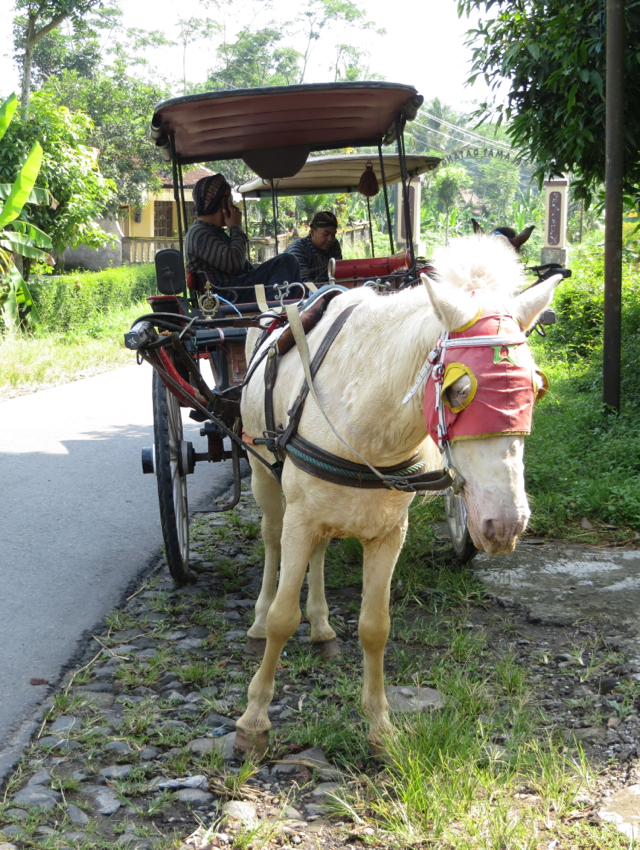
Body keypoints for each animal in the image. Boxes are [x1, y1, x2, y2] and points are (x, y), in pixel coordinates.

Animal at [235, 235, 560, 752]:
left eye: (534, 387)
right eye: (457, 391)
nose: (504, 524)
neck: (363, 415)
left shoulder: (389, 531)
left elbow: (376, 626)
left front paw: (380, 726)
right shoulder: (300, 517)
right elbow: (285, 618)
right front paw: (254, 720)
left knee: (319, 553)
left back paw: (322, 626)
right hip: (262, 471)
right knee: (271, 539)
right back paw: (259, 620)